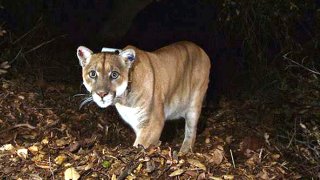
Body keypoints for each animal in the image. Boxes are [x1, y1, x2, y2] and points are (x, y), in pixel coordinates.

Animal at [76, 41, 211, 153]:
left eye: (114, 74)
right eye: (92, 74)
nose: (101, 94)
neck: (124, 100)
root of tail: (201, 50)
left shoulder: (153, 123)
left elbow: (140, 145)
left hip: (194, 104)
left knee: (191, 131)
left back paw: (184, 151)